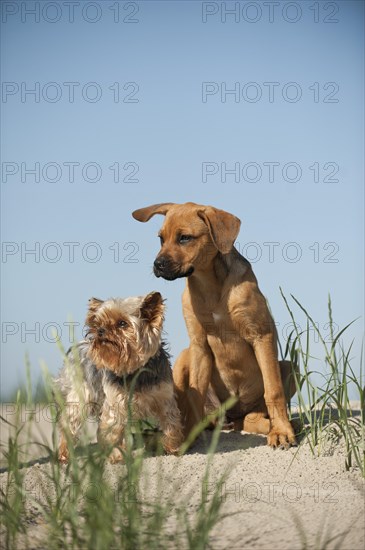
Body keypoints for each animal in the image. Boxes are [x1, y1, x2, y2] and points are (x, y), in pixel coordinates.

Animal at [132, 203, 298, 448]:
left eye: (184, 238)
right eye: (161, 239)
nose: (157, 265)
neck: (209, 283)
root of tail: (231, 418)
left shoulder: (262, 335)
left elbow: (273, 390)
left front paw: (281, 431)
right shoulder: (199, 345)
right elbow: (194, 394)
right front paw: (187, 439)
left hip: (288, 367)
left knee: (253, 416)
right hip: (185, 356)